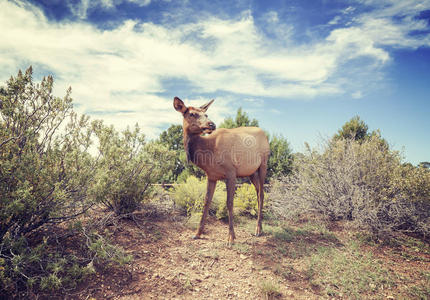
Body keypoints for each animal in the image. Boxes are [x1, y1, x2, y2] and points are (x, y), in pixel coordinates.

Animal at [174, 97, 268, 245]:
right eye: (192, 114)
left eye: (206, 114)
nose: (211, 124)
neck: (208, 154)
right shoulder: (211, 176)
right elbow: (206, 202)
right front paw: (197, 233)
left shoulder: (231, 172)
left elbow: (229, 203)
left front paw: (231, 237)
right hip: (251, 172)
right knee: (258, 193)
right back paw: (260, 227)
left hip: (263, 164)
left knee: (262, 194)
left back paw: (258, 230)